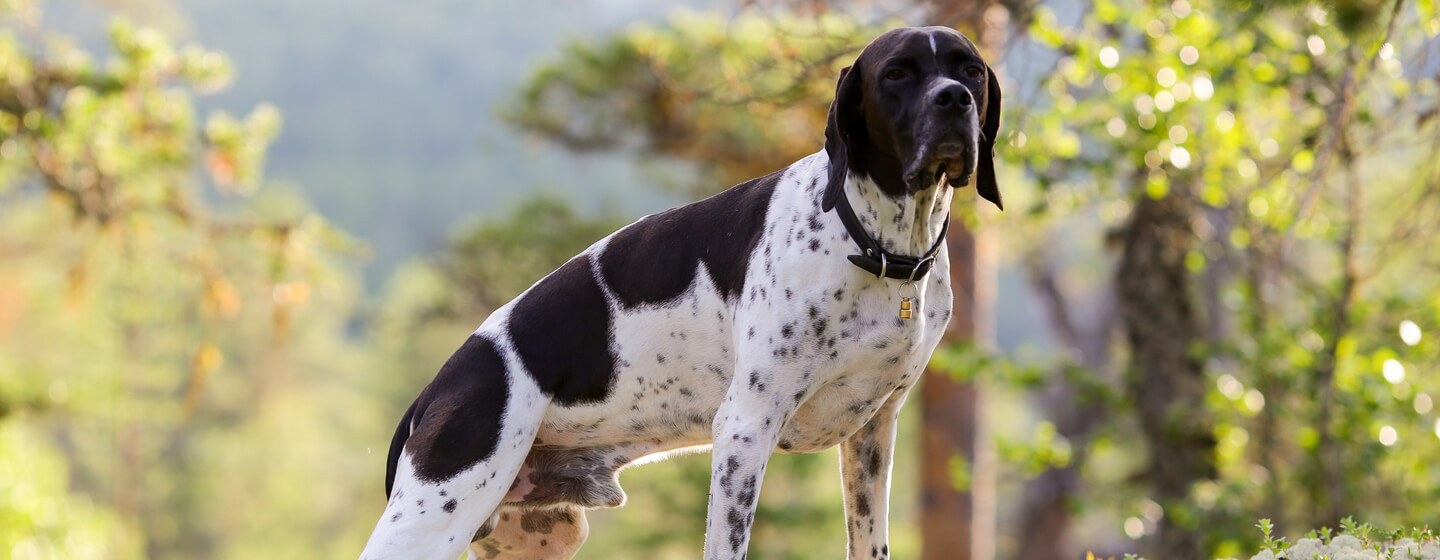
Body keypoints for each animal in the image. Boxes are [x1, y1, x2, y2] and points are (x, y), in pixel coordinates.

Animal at [360, 26, 1008, 558]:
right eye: (897, 72)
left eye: (970, 69)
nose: (954, 98)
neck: (877, 245)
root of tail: (434, 391)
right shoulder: (745, 430)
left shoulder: (873, 436)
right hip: (435, 518)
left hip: (536, 536)